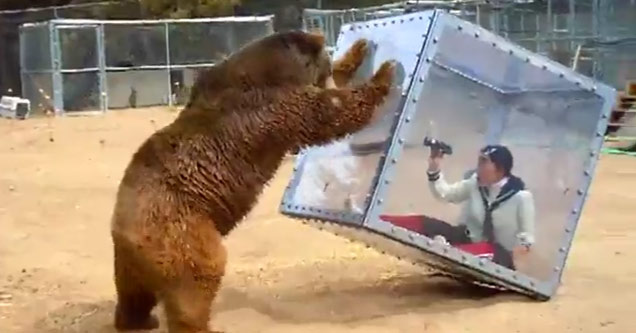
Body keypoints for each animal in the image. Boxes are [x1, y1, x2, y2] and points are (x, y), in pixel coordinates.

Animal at [112, 29, 396, 330]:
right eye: (323, 63)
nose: (328, 58)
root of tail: (124, 230)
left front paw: (358, 49)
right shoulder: (277, 106)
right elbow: (331, 110)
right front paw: (385, 71)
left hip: (135, 260)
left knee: (134, 293)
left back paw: (137, 319)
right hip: (179, 228)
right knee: (197, 279)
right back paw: (197, 324)